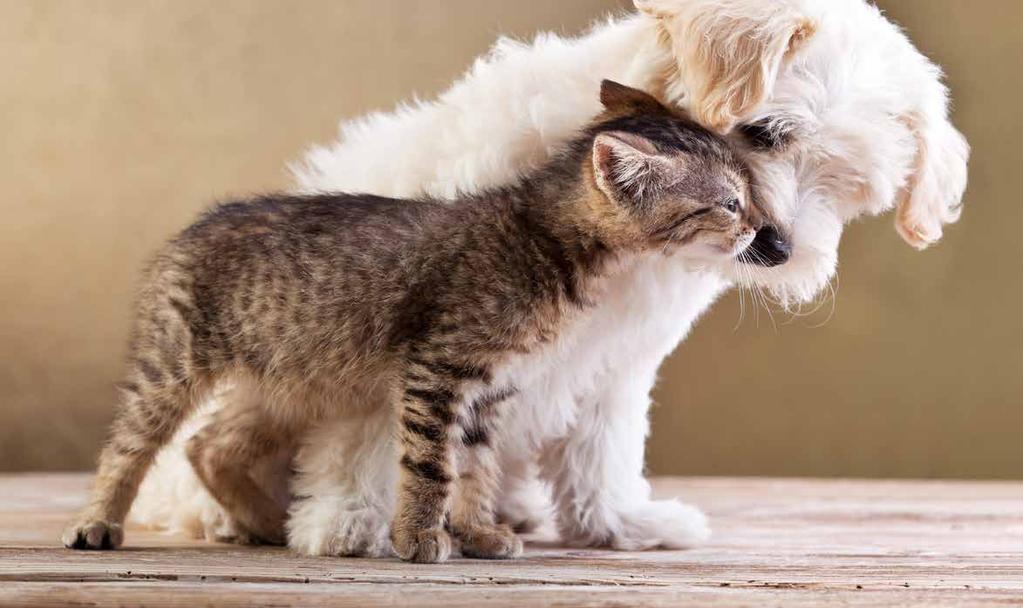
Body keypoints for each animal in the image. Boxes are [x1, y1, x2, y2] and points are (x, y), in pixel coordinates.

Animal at [63, 78, 765, 560]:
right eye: (729, 204)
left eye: (746, 196)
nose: (763, 231)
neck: (547, 240)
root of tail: (196, 224)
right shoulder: (438, 369)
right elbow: (431, 465)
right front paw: (419, 536)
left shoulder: (491, 389)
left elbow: (476, 468)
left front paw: (479, 531)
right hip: (172, 363)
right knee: (129, 444)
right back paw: (98, 522)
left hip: (290, 380)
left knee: (210, 445)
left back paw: (266, 524)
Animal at [131, 0, 969, 552]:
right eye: (763, 133)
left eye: (848, 187)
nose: (779, 247)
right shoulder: (410, 323)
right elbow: (375, 430)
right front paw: (349, 518)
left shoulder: (617, 356)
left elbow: (603, 441)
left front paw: (618, 522)